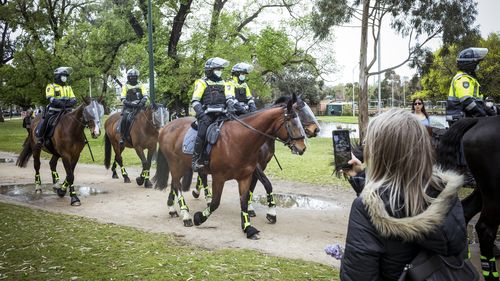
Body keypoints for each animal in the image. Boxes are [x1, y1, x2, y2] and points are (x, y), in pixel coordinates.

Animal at [154, 95, 306, 237]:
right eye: (292, 123)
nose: (302, 148)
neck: (239, 140)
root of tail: (166, 127)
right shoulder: (219, 177)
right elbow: (215, 203)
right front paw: (199, 217)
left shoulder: (246, 175)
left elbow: (246, 199)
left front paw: (248, 227)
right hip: (175, 164)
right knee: (177, 185)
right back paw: (185, 215)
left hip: (183, 165)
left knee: (176, 184)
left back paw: (173, 208)